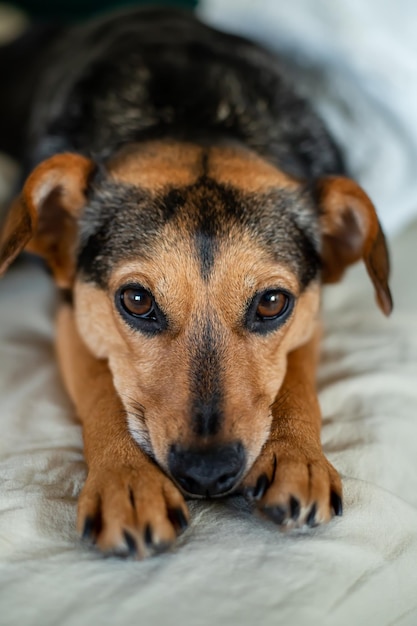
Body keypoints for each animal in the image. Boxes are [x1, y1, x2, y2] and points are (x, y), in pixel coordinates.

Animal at [0, 7, 392, 556]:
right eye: (136, 299)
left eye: (271, 303)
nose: (207, 475)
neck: (195, 122)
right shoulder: (72, 312)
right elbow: (102, 387)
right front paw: (127, 482)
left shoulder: (311, 315)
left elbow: (295, 378)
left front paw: (296, 456)